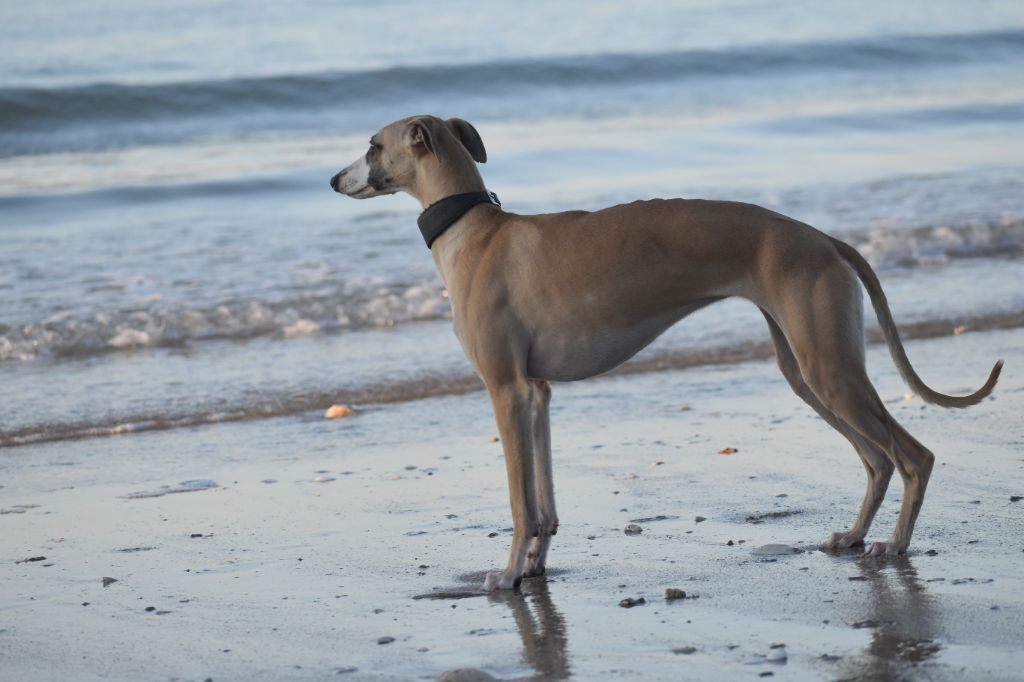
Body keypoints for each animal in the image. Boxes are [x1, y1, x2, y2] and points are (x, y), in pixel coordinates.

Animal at [331, 115, 1003, 589]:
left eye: (371, 144)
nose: (332, 180)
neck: (473, 229)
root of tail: (824, 238)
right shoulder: (537, 394)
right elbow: (545, 504)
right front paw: (536, 566)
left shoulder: (507, 391)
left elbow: (522, 501)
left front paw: (509, 574)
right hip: (808, 371)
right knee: (877, 459)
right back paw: (857, 536)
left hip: (828, 367)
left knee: (913, 455)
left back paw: (897, 545)